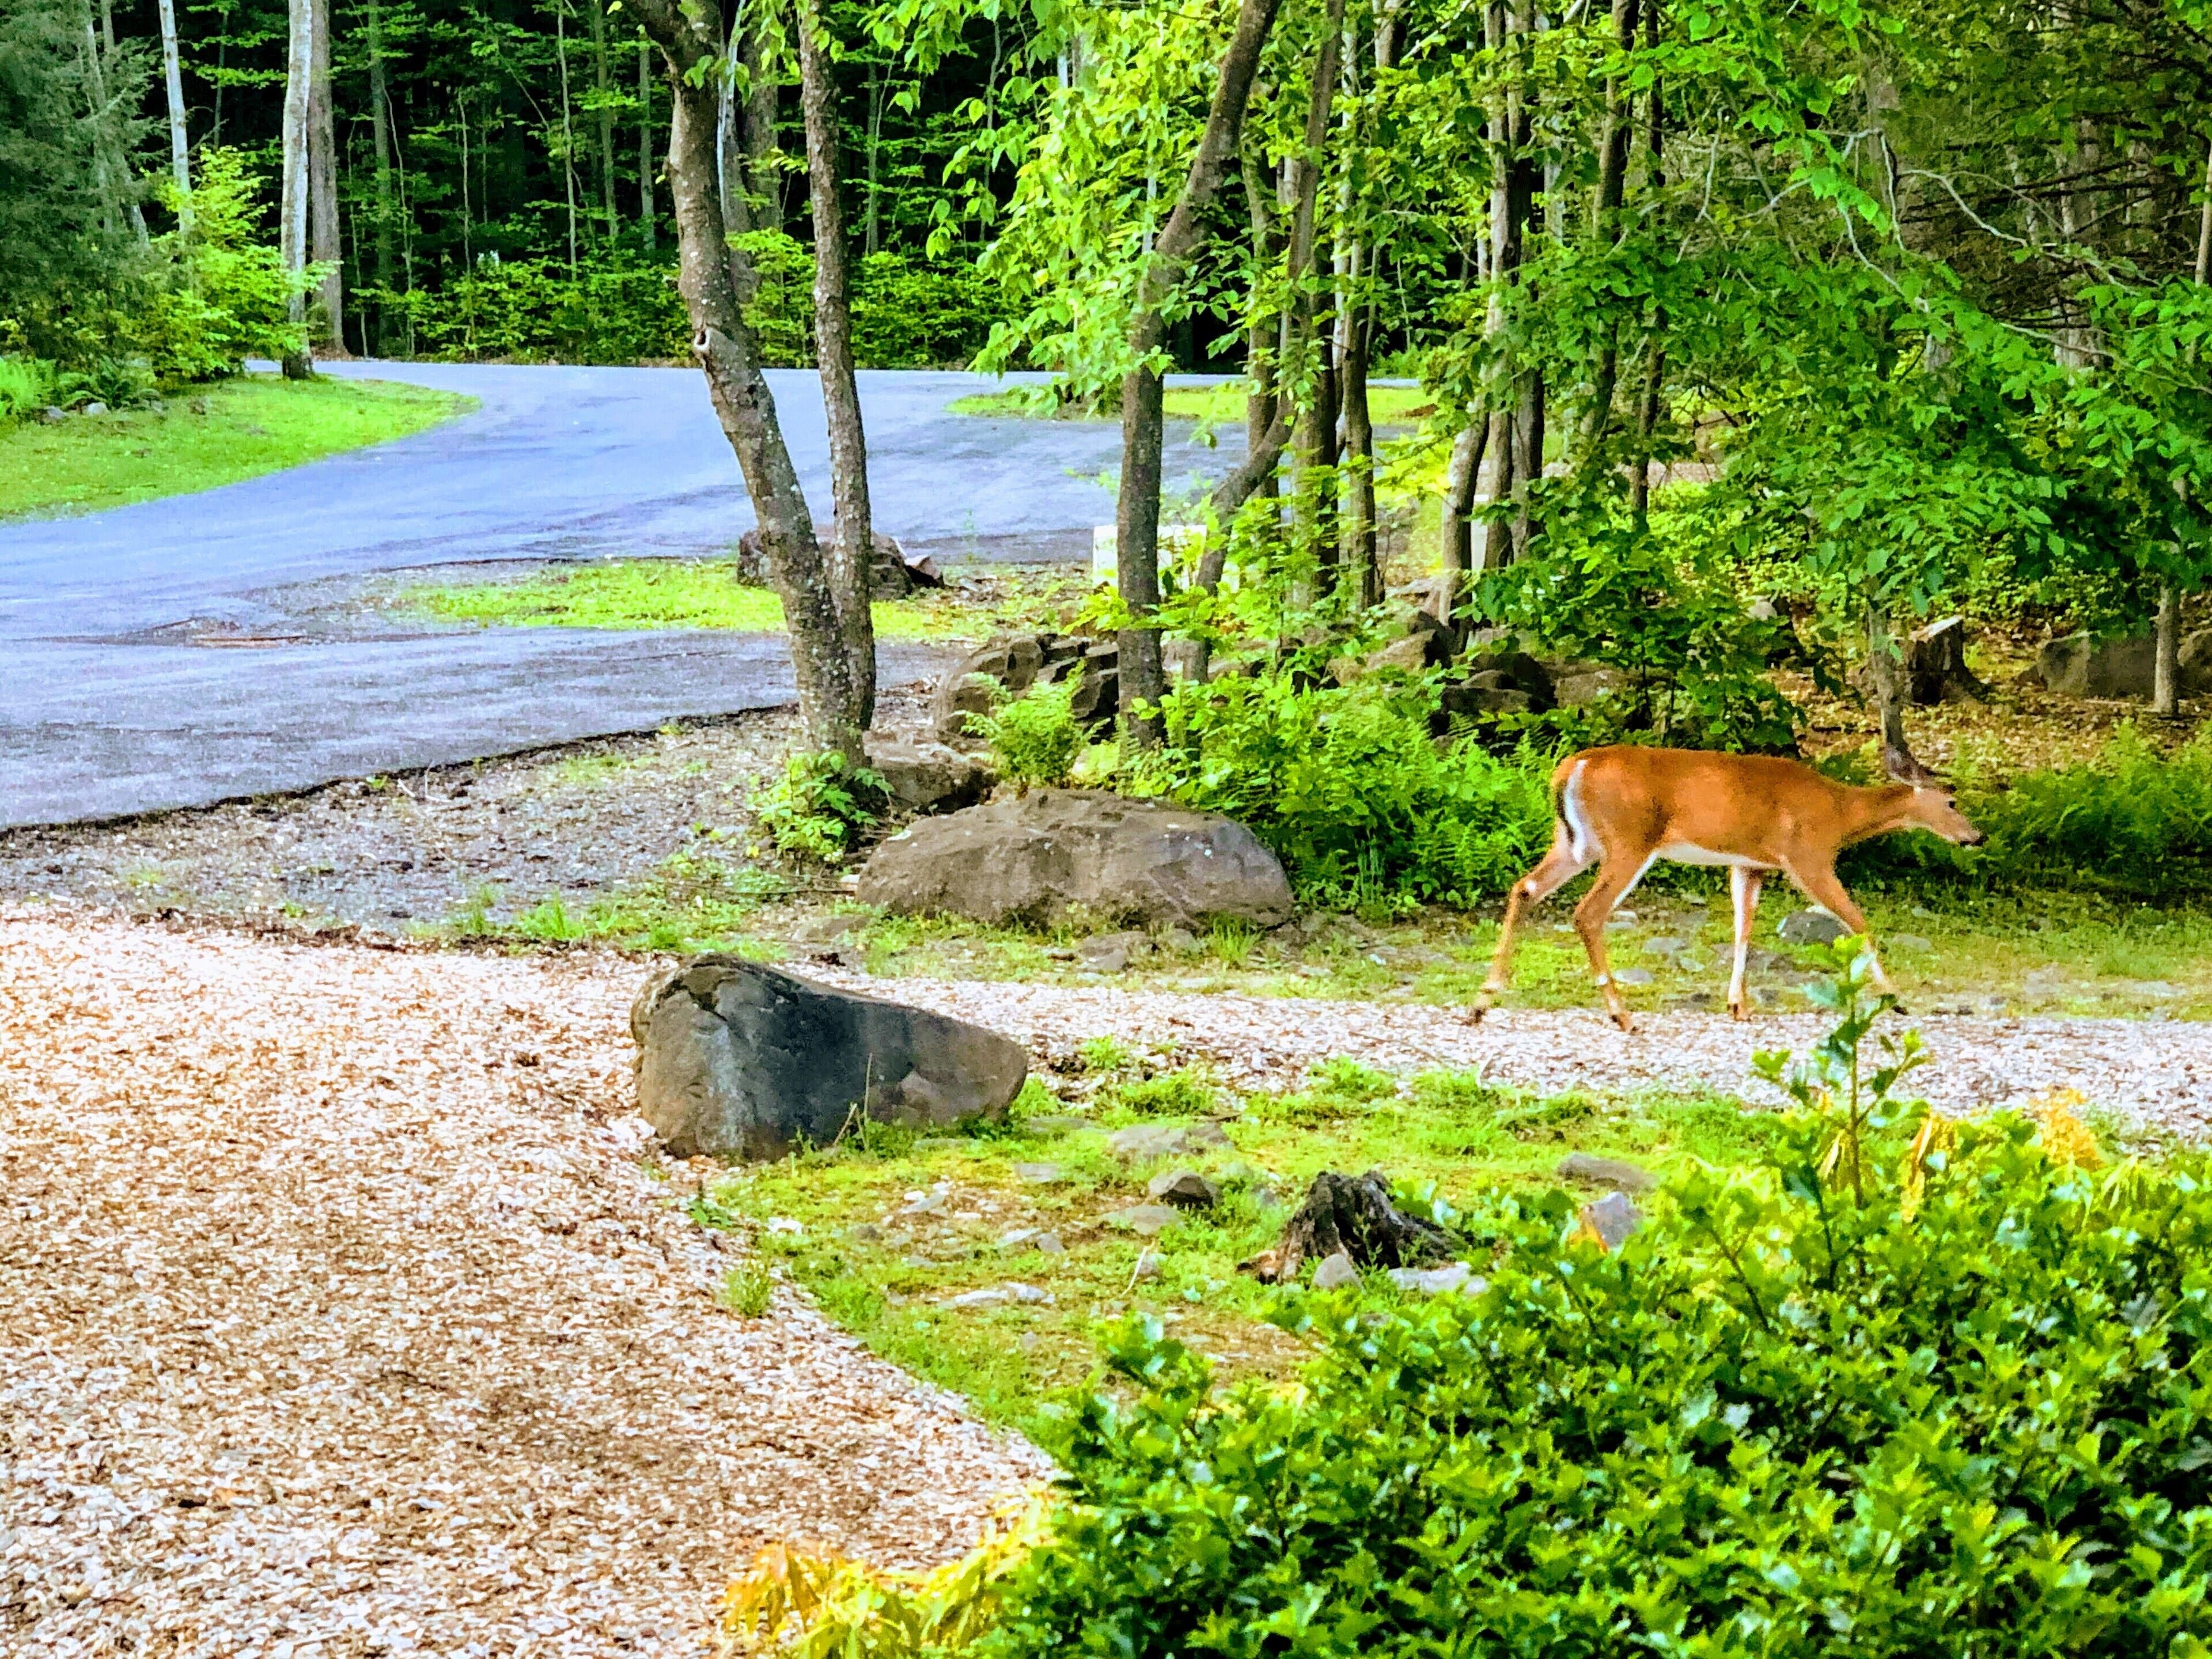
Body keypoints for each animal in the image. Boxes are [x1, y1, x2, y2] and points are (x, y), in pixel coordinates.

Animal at [1470, 746, 1984, 1033]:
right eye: (1952, 801)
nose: (1977, 837)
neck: (1841, 813)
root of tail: (1572, 768)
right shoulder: (1809, 857)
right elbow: (1858, 922)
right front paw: (1896, 999)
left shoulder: (1748, 864)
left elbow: (1743, 930)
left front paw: (1739, 1005)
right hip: (1630, 839)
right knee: (1588, 912)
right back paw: (1623, 1016)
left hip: (1577, 842)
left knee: (1525, 888)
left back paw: (1481, 1002)